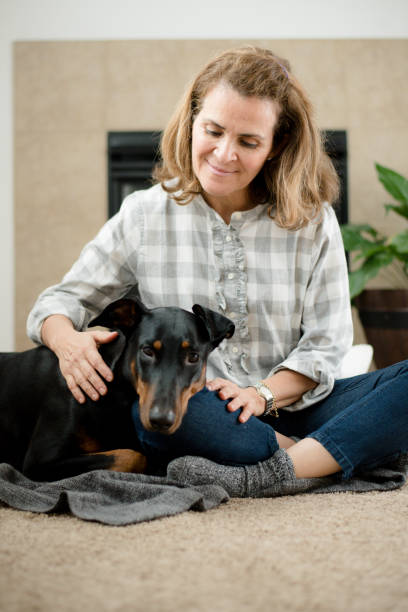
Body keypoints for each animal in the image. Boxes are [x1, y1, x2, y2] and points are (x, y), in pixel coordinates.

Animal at [0, 298, 234, 480]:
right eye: (147, 351)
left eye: (193, 357)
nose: (161, 421)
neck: (115, 393)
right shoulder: (39, 461)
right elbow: (132, 456)